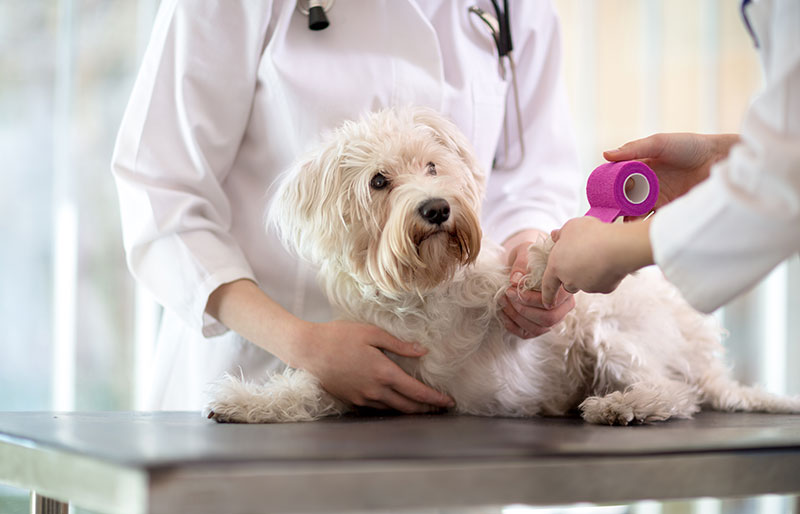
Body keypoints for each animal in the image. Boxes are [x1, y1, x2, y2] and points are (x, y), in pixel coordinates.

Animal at [208, 106, 800, 422]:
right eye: (379, 181)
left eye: (432, 166)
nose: (436, 208)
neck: (423, 289)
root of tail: (703, 354)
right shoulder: (368, 372)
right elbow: (307, 390)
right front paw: (246, 401)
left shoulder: (523, 329)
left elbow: (520, 294)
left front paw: (543, 258)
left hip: (610, 330)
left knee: (676, 392)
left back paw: (621, 405)